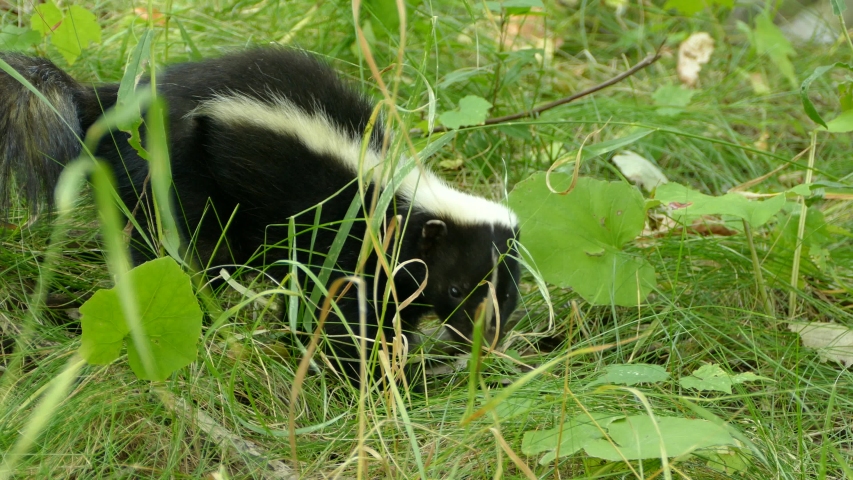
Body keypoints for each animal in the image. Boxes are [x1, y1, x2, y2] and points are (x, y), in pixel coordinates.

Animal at [0, 47, 524, 380]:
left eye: (508, 295)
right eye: (456, 288)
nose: (485, 341)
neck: (401, 195)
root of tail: (111, 101)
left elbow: (391, 311)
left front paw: (401, 359)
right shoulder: (350, 239)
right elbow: (340, 313)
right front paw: (366, 374)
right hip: (173, 162)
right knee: (172, 239)